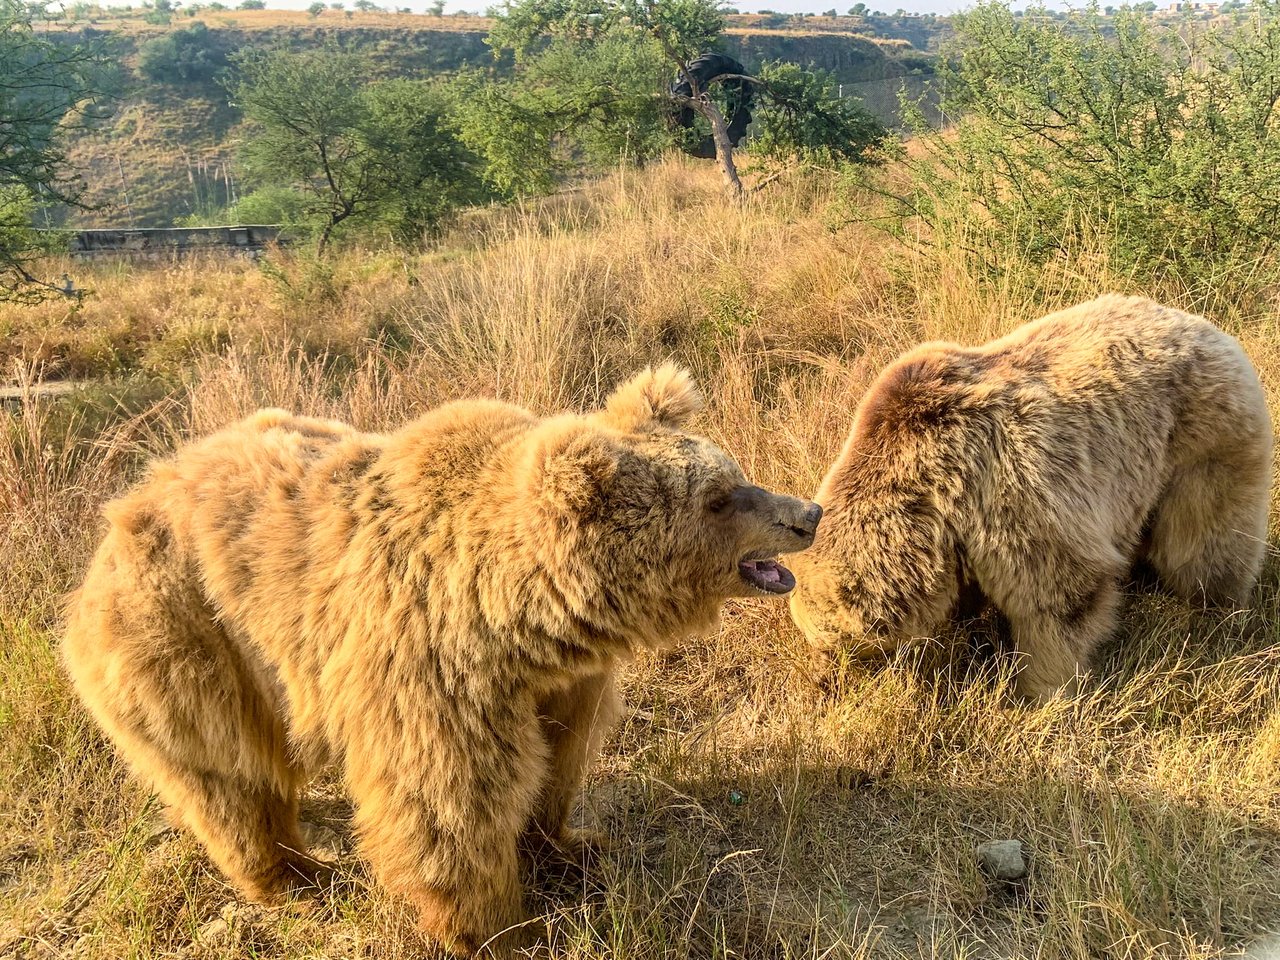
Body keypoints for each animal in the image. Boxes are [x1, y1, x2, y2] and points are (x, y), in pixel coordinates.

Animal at [62, 364, 822, 955]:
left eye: (733, 472)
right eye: (718, 498)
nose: (807, 513)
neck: (524, 614)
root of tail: (127, 504)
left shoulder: (560, 681)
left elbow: (560, 757)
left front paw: (572, 846)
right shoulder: (433, 670)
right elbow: (448, 803)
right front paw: (500, 930)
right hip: (188, 635)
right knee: (228, 773)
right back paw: (296, 877)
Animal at [788, 295, 1273, 702]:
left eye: (828, 639)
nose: (821, 679)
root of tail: (1205, 325)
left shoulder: (1002, 494)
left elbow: (1057, 598)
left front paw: (1039, 692)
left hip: (1201, 437)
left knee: (1204, 536)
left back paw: (1217, 608)